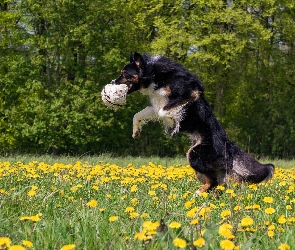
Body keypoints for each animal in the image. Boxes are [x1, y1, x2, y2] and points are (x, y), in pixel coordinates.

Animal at [111, 51, 276, 194]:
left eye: (124, 73)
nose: (113, 81)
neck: (155, 74)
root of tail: (228, 145)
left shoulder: (188, 94)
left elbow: (164, 111)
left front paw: (173, 122)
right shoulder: (156, 102)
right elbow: (138, 115)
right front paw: (136, 131)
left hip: (194, 154)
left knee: (213, 181)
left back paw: (196, 194)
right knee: (215, 183)